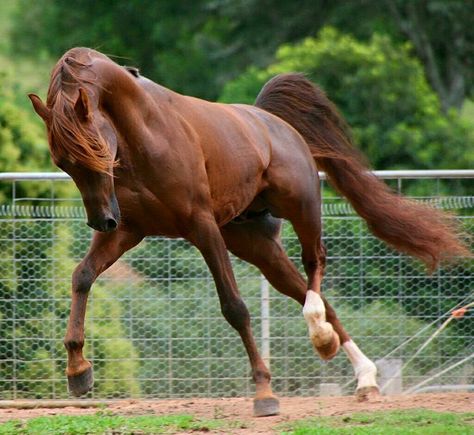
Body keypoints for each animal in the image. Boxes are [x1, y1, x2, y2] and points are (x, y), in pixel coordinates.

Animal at [28, 46, 466, 416]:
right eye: (63, 162)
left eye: (97, 149)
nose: (100, 219)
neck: (146, 134)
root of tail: (275, 123)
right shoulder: (128, 230)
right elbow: (82, 276)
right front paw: (78, 370)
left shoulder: (201, 227)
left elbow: (235, 308)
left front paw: (264, 393)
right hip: (257, 247)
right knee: (314, 294)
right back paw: (365, 378)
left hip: (301, 209)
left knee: (316, 266)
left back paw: (322, 337)